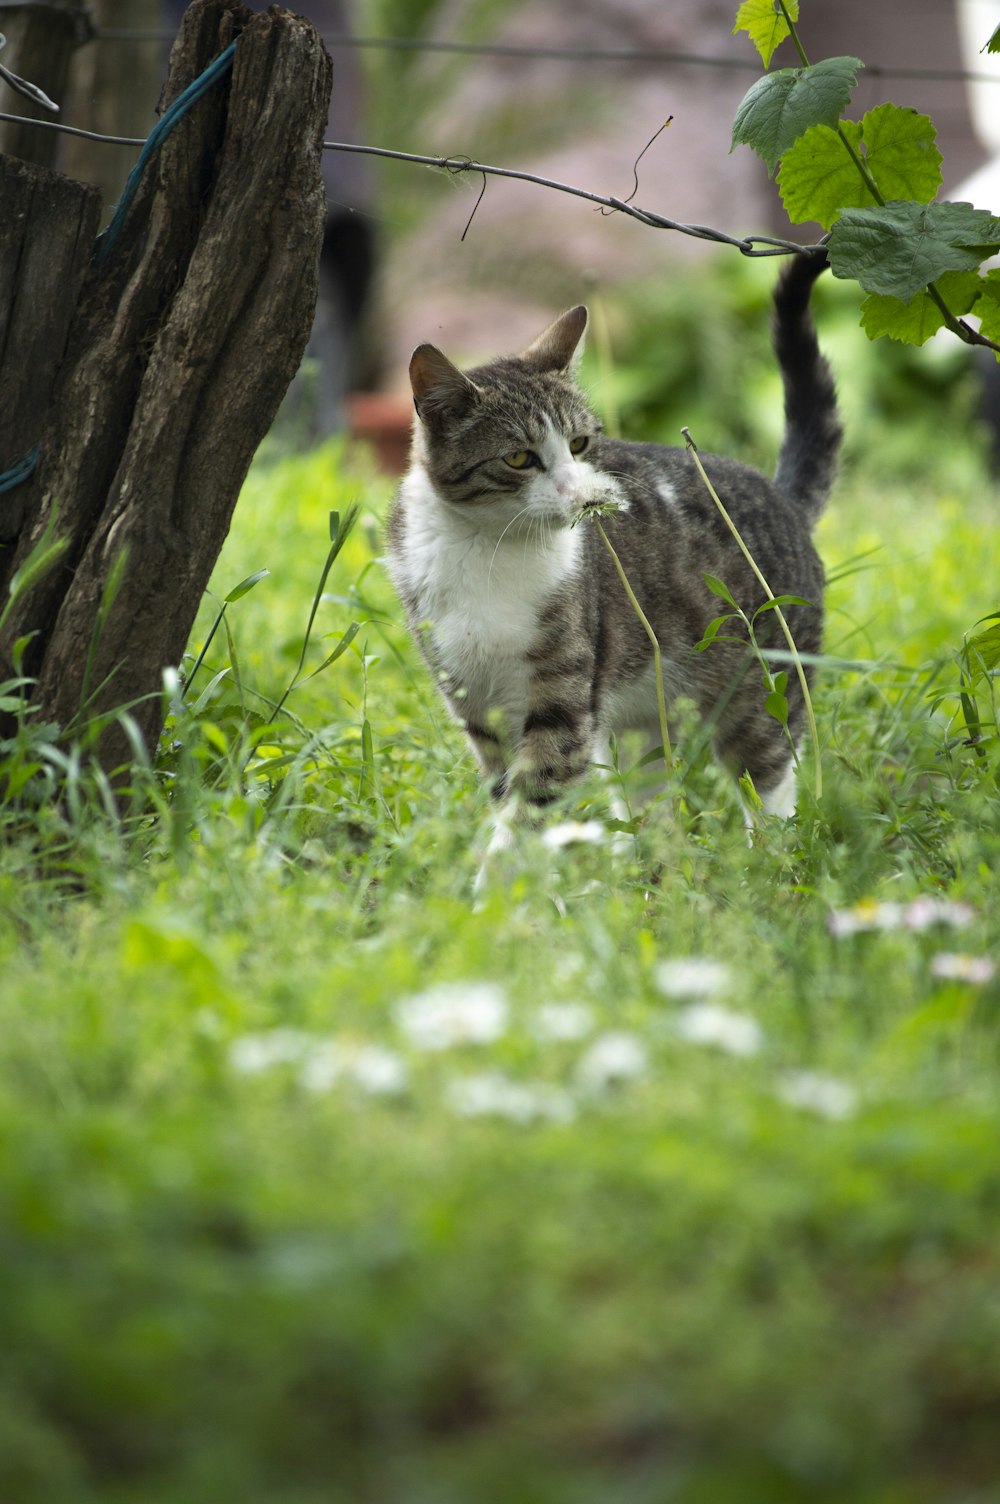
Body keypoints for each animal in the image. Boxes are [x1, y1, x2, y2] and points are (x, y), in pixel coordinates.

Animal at [384, 255, 836, 848]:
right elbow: (508, 795)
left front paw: (496, 872)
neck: (486, 546)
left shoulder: (563, 704)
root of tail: (782, 497)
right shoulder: (475, 703)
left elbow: (529, 806)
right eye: (518, 457)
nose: (582, 495)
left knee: (770, 774)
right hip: (645, 717)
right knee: (649, 791)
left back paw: (767, 855)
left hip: (762, 688)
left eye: (579, 444)